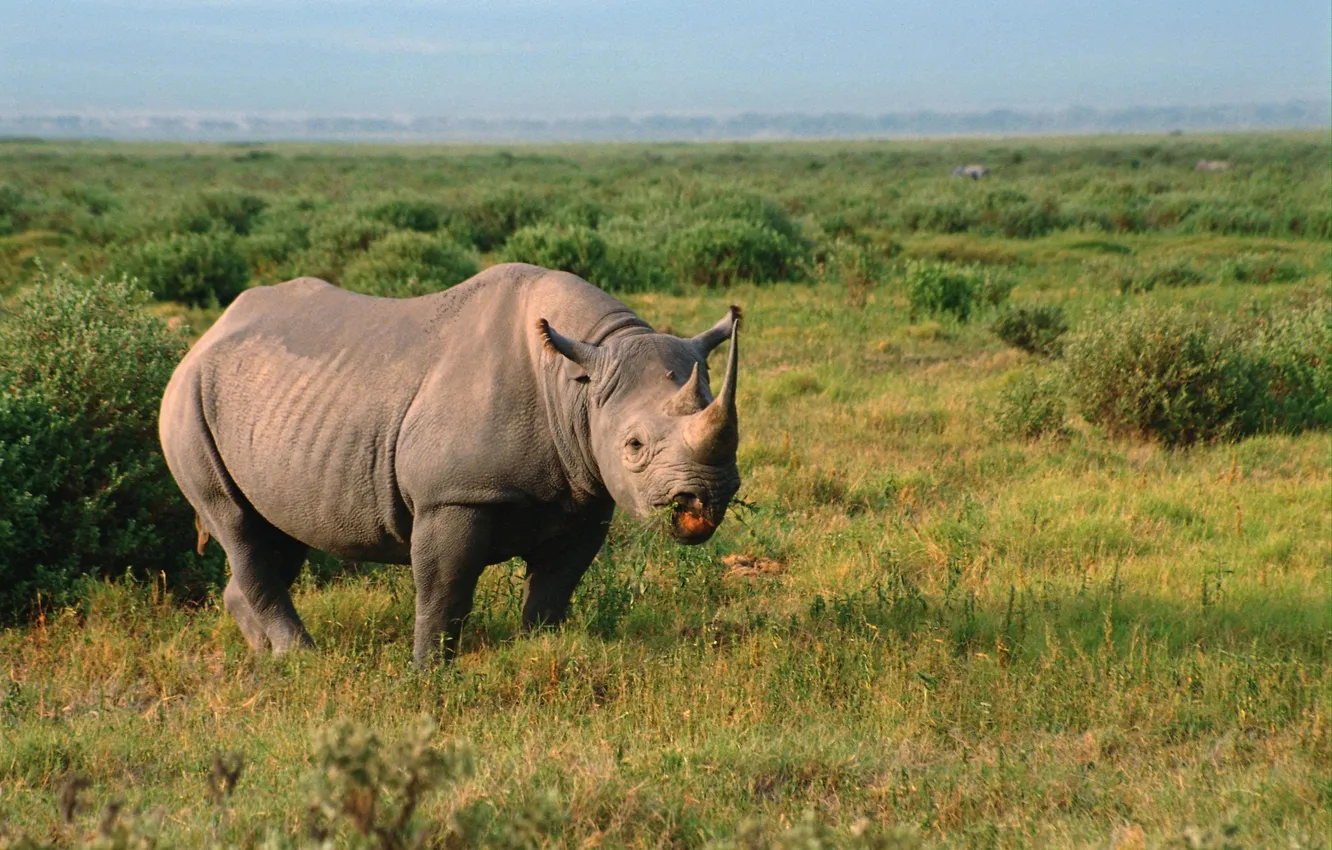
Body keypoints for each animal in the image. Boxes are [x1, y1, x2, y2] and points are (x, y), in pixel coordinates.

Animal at [159, 262, 742, 666]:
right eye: (634, 446)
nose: (703, 497)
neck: (579, 380)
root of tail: (205, 335)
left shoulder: (586, 496)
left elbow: (555, 586)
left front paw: (537, 651)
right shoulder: (453, 495)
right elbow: (445, 587)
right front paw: (428, 673)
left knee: (278, 531)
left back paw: (266, 655)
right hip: (185, 403)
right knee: (237, 525)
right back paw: (303, 660)